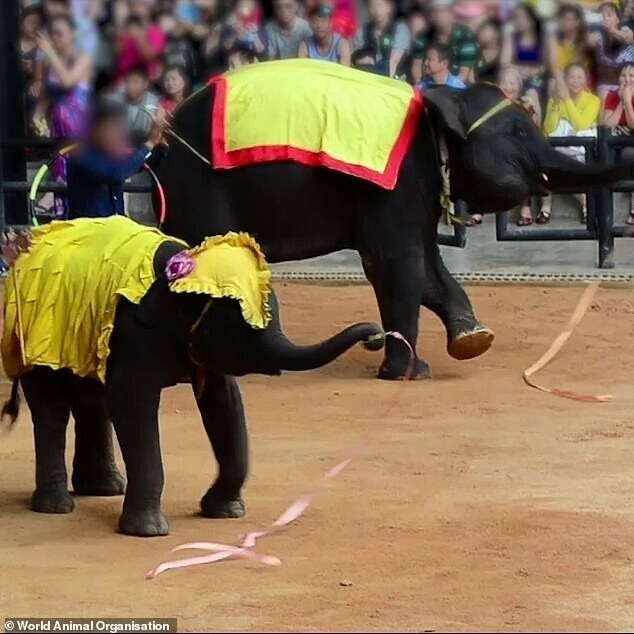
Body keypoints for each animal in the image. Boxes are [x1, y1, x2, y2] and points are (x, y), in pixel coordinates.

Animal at [2, 216, 382, 532]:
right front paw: (149, 532)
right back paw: (56, 507)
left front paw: (226, 513)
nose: (376, 337)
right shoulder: (133, 332)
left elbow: (225, 403)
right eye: (242, 328)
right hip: (35, 336)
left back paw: (105, 489)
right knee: (53, 409)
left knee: (92, 403)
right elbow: (133, 405)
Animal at [157, 64, 632, 380]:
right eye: (517, 133)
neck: (437, 102)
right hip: (204, 186)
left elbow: (427, 265)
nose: (371, 336)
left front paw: (473, 341)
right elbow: (395, 262)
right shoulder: (395, 184)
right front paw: (406, 373)